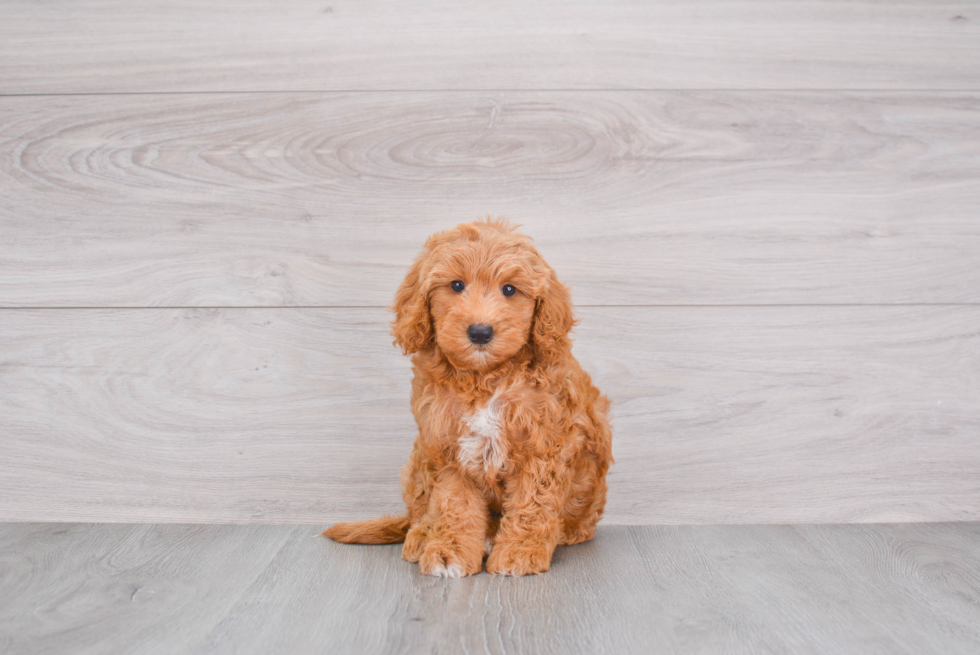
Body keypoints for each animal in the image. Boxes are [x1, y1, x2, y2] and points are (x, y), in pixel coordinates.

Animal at [324, 218, 612, 576]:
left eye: (509, 290)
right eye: (457, 285)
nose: (480, 332)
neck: (484, 377)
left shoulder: (544, 443)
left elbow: (533, 502)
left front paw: (520, 550)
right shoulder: (446, 443)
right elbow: (455, 504)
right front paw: (450, 551)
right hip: (419, 457)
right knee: (419, 510)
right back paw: (421, 535)